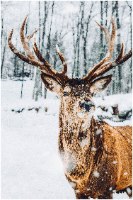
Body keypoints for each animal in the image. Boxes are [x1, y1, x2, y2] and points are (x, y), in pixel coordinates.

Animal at [8, 16, 132, 198]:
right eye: (65, 92)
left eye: (90, 92)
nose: (87, 104)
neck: (81, 174)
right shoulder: (77, 190)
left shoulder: (107, 187)